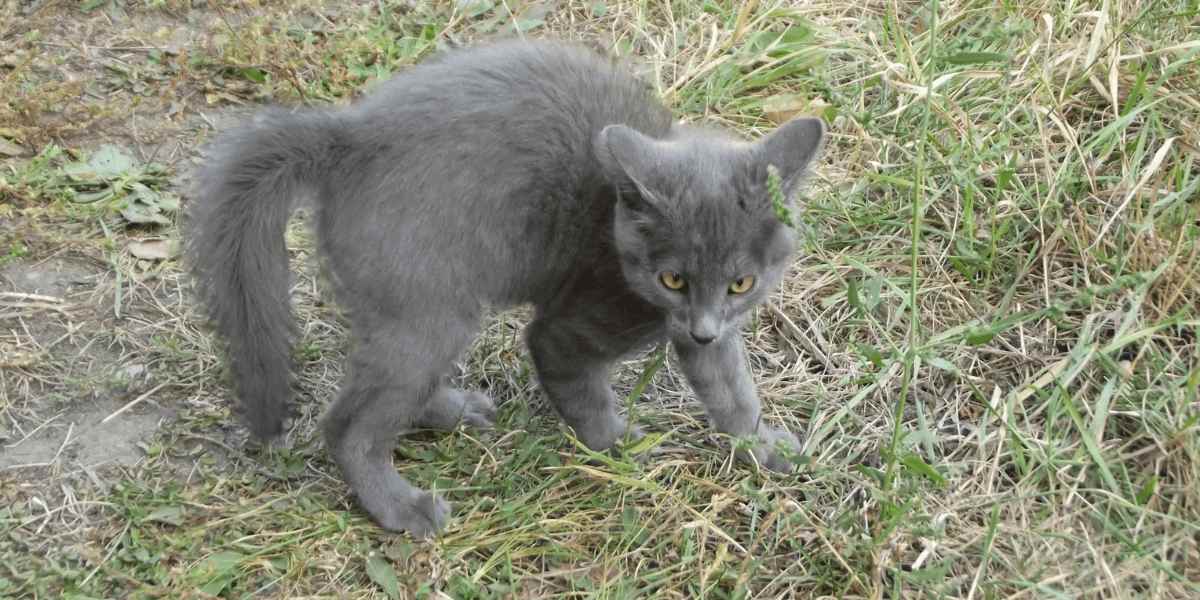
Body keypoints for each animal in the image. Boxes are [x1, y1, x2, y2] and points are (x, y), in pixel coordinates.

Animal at [187, 39, 825, 537]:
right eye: (673, 278)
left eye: (741, 282)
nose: (704, 325)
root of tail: (348, 136)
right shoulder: (574, 322)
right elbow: (581, 387)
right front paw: (615, 444)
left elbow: (731, 389)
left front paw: (763, 445)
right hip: (432, 305)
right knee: (349, 422)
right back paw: (401, 506)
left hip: (407, 302)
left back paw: (451, 409)